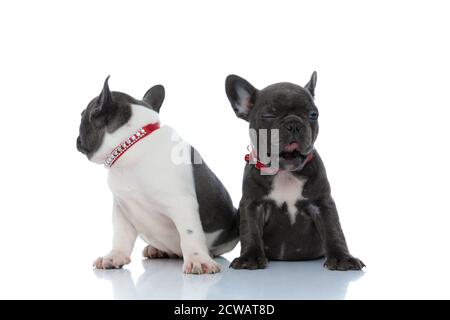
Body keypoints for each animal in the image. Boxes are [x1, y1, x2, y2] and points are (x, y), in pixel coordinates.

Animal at [77, 78, 239, 276]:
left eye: (82, 115)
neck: (132, 145)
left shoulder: (181, 203)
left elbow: (190, 232)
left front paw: (197, 260)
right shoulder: (122, 207)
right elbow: (121, 235)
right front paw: (115, 256)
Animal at [225, 72, 366, 270]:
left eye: (313, 114)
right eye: (269, 114)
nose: (294, 124)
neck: (285, 172)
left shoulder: (322, 203)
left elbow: (333, 230)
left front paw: (342, 258)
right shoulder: (252, 204)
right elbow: (250, 230)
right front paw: (249, 257)